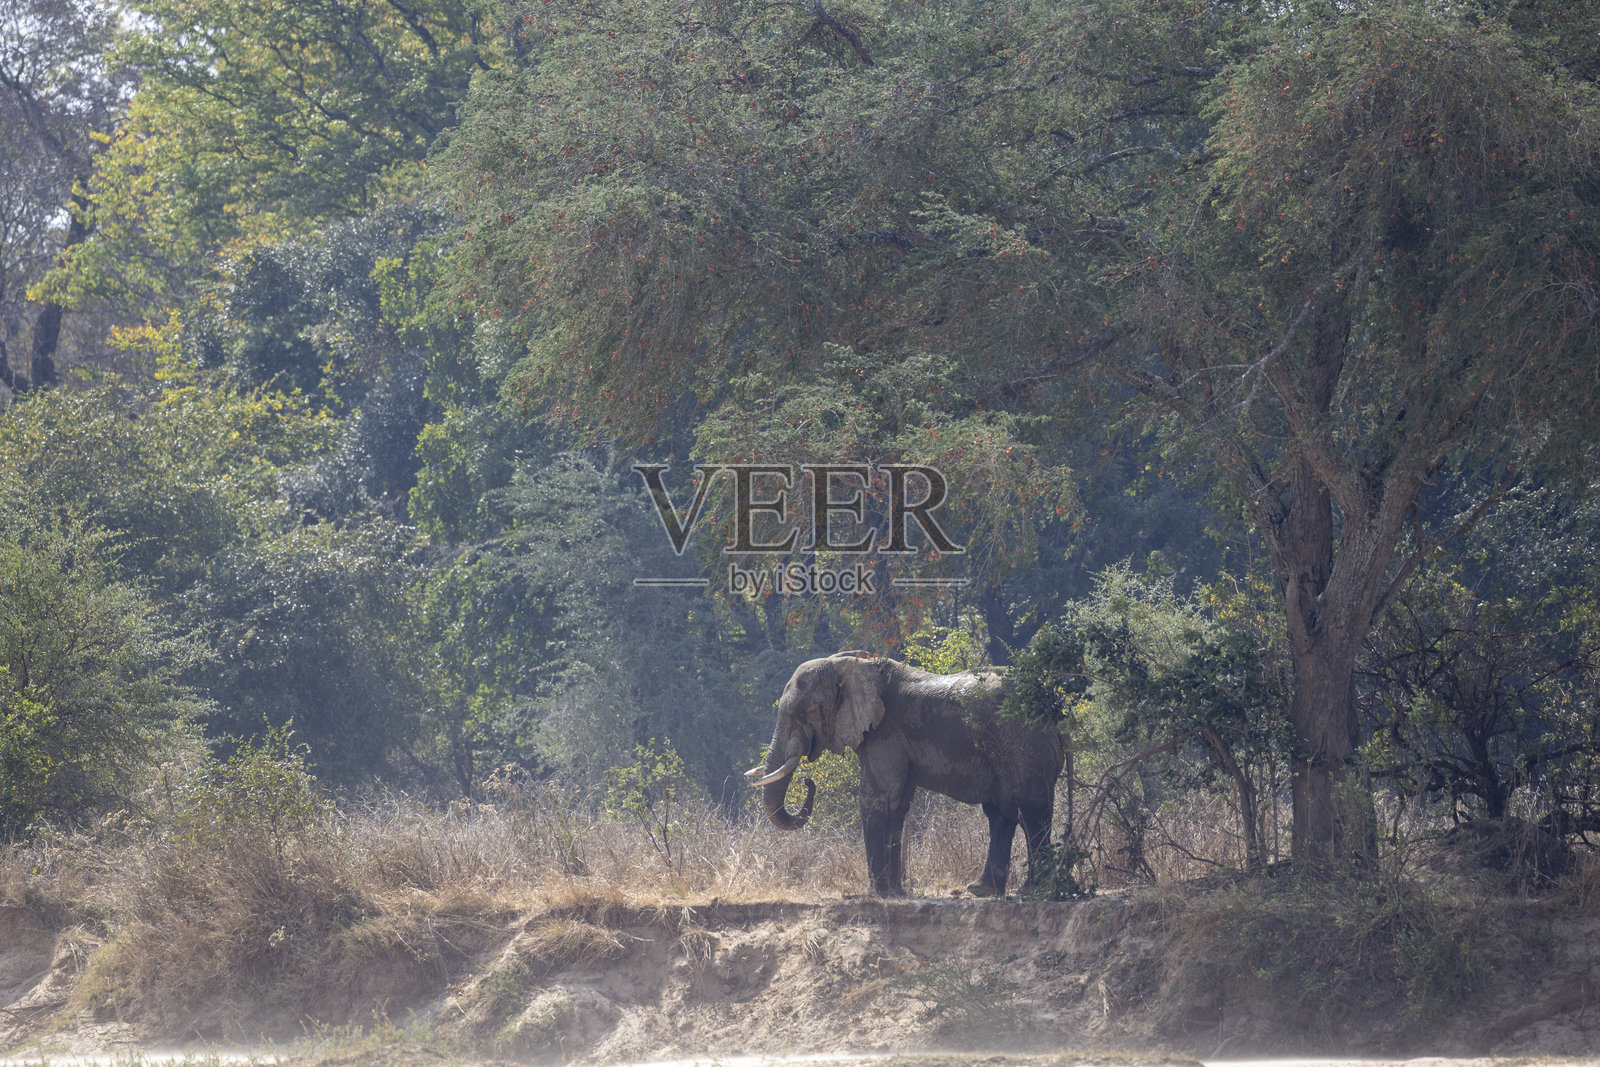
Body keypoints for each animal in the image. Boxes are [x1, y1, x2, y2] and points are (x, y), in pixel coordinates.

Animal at [746, 652, 1064, 898]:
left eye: (802, 713)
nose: (807, 781)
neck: (850, 664)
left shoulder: (886, 734)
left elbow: (875, 798)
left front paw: (879, 895)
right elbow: (896, 804)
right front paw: (896, 893)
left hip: (1023, 745)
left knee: (1030, 810)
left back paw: (1033, 891)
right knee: (1002, 814)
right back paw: (981, 890)